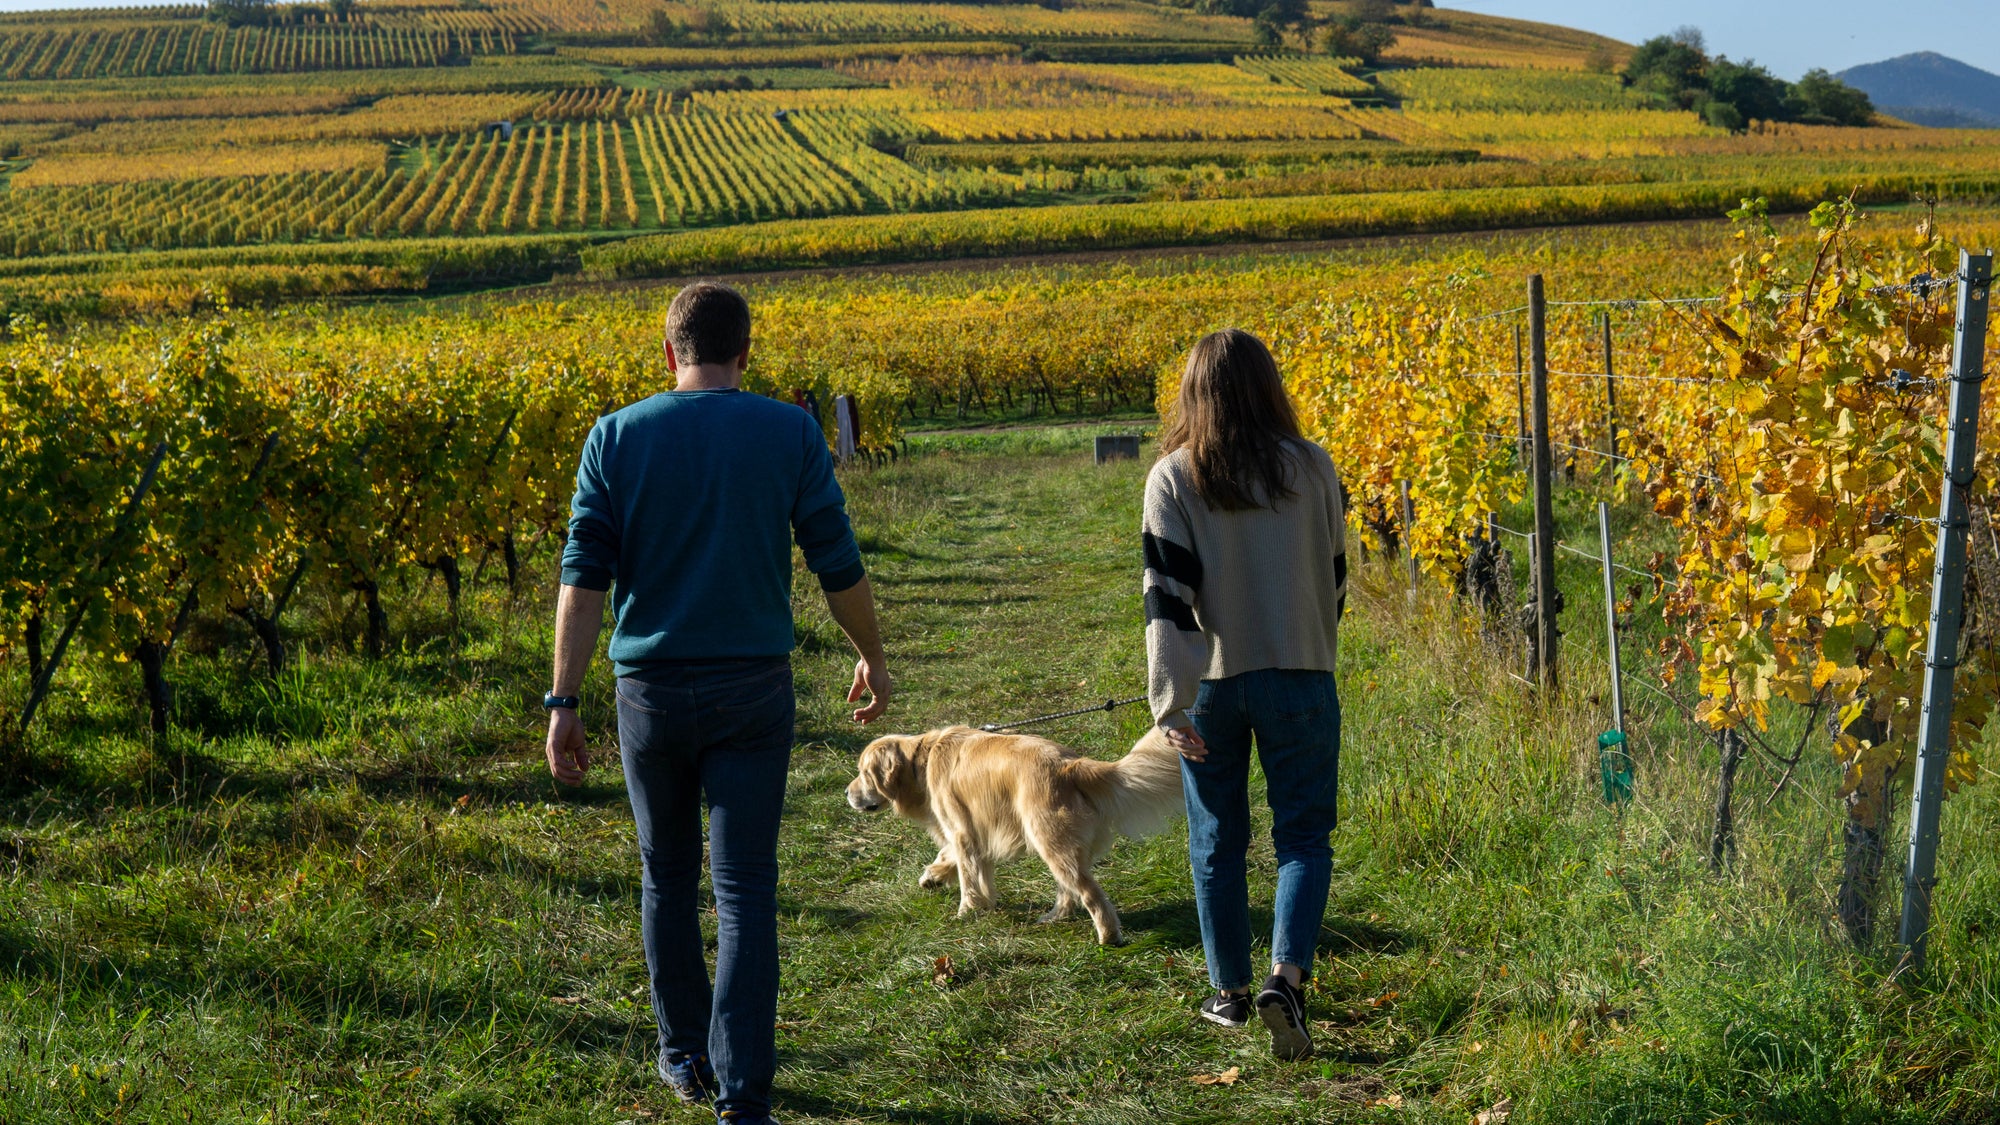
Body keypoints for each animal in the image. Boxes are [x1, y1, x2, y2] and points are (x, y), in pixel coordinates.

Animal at [848, 720, 1184, 940]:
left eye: (863, 773)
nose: (846, 793)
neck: (923, 759)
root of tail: (1071, 765)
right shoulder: (974, 831)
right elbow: (961, 862)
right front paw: (938, 878)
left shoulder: (962, 830)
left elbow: (967, 874)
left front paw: (966, 910)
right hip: (1057, 846)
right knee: (1069, 890)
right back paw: (1054, 917)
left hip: (1050, 841)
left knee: (1090, 894)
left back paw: (1108, 936)